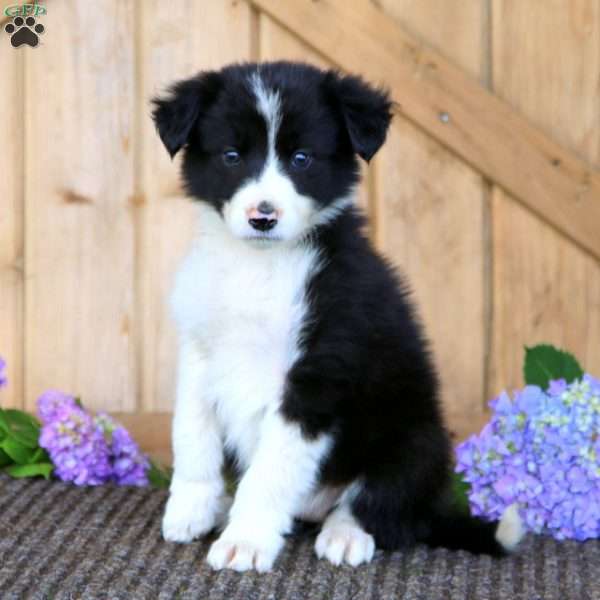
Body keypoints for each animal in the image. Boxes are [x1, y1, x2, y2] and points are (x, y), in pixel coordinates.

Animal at [152, 61, 524, 572]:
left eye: (302, 159)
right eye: (231, 156)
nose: (262, 217)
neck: (260, 265)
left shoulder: (317, 375)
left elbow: (270, 470)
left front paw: (245, 541)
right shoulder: (200, 351)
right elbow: (192, 436)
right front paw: (191, 510)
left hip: (416, 439)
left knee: (382, 507)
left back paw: (345, 535)